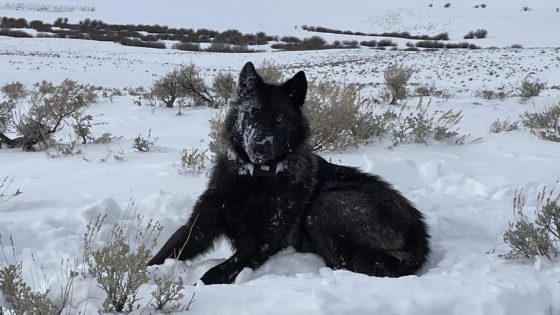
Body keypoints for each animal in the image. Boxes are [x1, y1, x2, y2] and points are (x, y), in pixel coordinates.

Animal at [148, 61, 428, 284]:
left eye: (280, 119)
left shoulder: (261, 244)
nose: (259, 146)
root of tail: (419, 231)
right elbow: (166, 252)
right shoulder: (200, 225)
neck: (255, 179)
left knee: (348, 263)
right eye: (252, 114)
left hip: (325, 205)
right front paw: (144, 276)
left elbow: (214, 273)